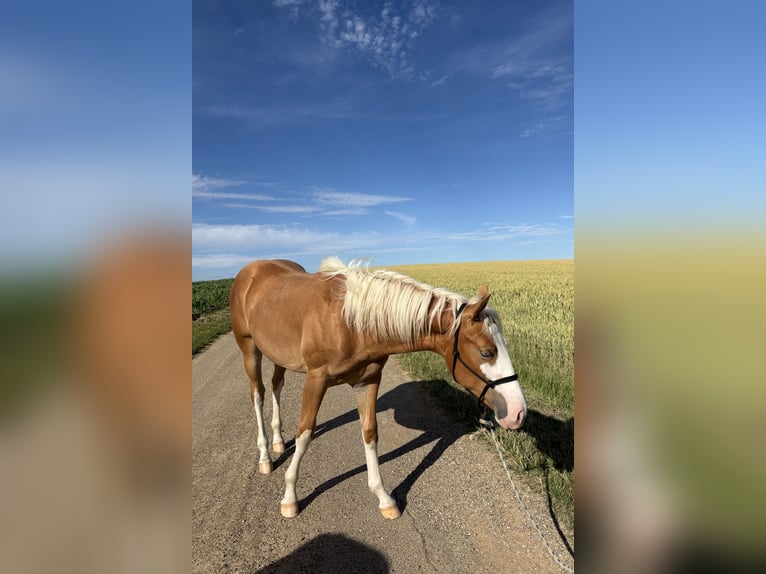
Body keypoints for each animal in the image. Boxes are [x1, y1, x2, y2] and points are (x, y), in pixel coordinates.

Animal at [229, 257, 527, 519]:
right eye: (487, 352)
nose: (518, 413)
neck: (351, 321)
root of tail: (250, 271)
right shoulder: (316, 379)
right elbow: (305, 433)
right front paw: (290, 496)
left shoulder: (368, 381)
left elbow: (369, 433)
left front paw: (384, 497)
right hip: (250, 350)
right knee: (258, 395)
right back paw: (265, 455)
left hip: (279, 355)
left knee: (276, 386)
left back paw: (278, 441)